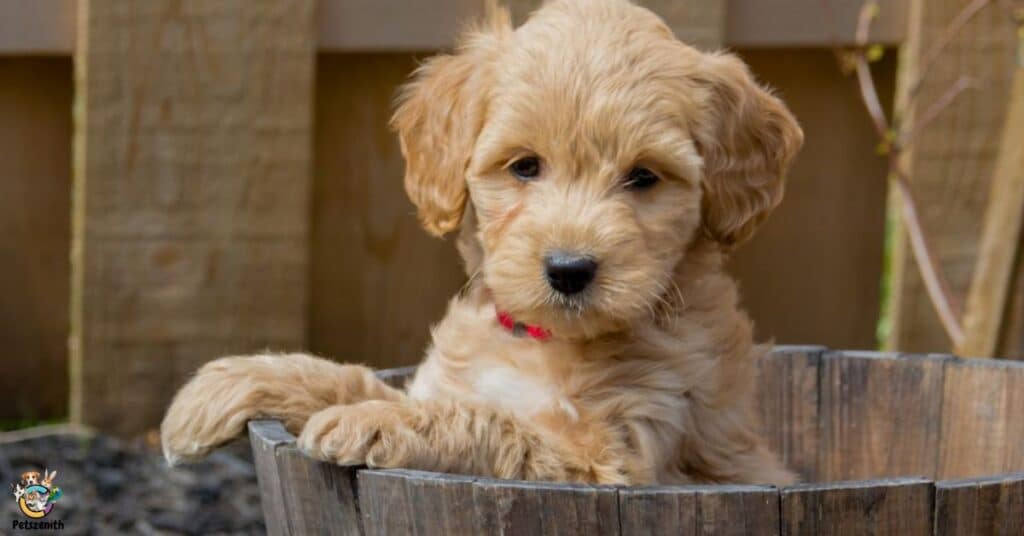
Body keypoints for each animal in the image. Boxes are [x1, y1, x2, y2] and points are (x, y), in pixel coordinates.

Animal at [159, 0, 798, 485]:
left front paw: (374, 424)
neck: (542, 343)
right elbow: (352, 379)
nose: (569, 269)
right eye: (525, 166)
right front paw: (218, 388)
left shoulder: (613, 454)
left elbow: (485, 420)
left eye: (644, 177)